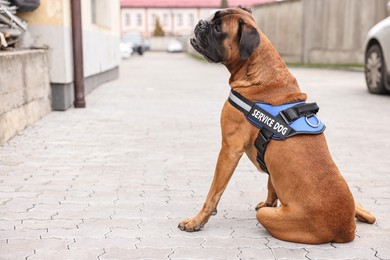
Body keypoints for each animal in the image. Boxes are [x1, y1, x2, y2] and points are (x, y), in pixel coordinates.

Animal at [178, 6, 376, 244]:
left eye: (217, 28)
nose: (201, 23)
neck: (258, 72)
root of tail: (346, 230)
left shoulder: (229, 150)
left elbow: (213, 193)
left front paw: (196, 221)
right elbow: (271, 181)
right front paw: (270, 200)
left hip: (271, 217)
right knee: (367, 213)